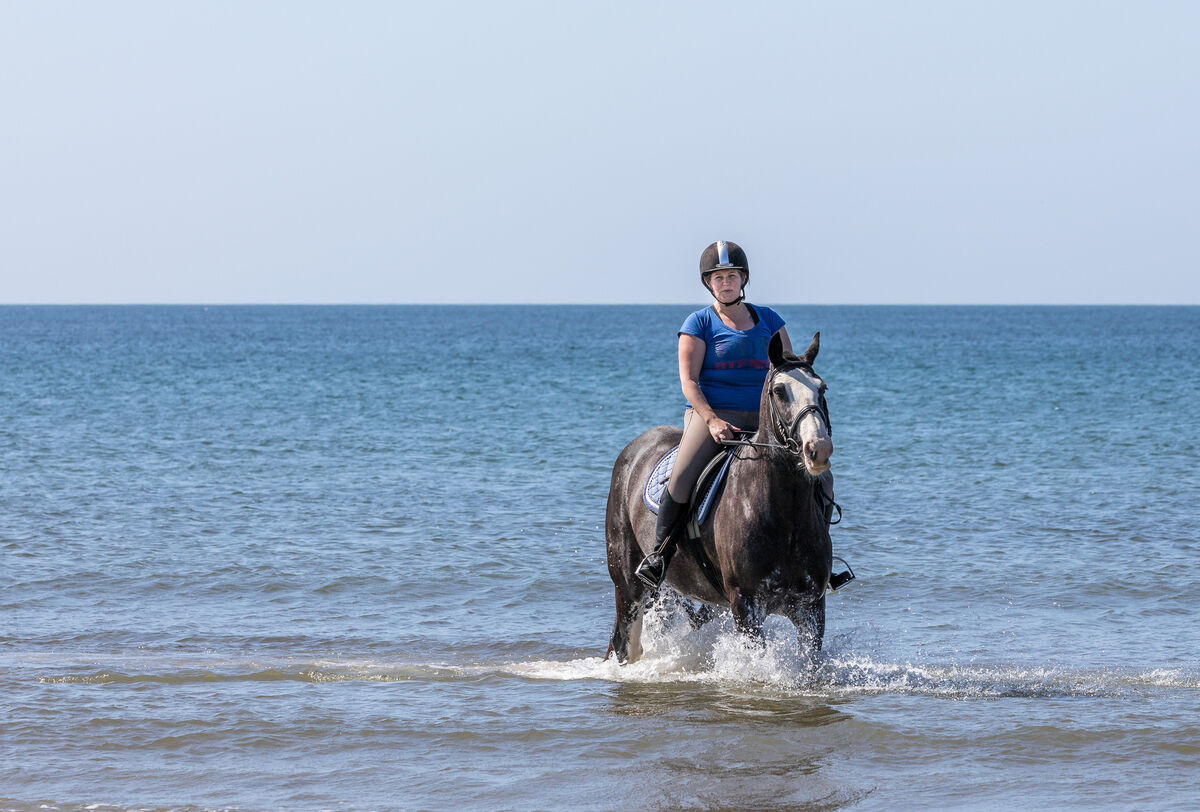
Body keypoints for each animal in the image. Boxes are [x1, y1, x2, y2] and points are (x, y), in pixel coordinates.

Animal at [604, 331, 835, 664]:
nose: (818, 449)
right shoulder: (746, 604)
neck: (782, 513)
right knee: (625, 644)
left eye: (822, 388)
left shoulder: (811, 607)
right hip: (628, 586)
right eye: (780, 391)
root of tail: (636, 447)